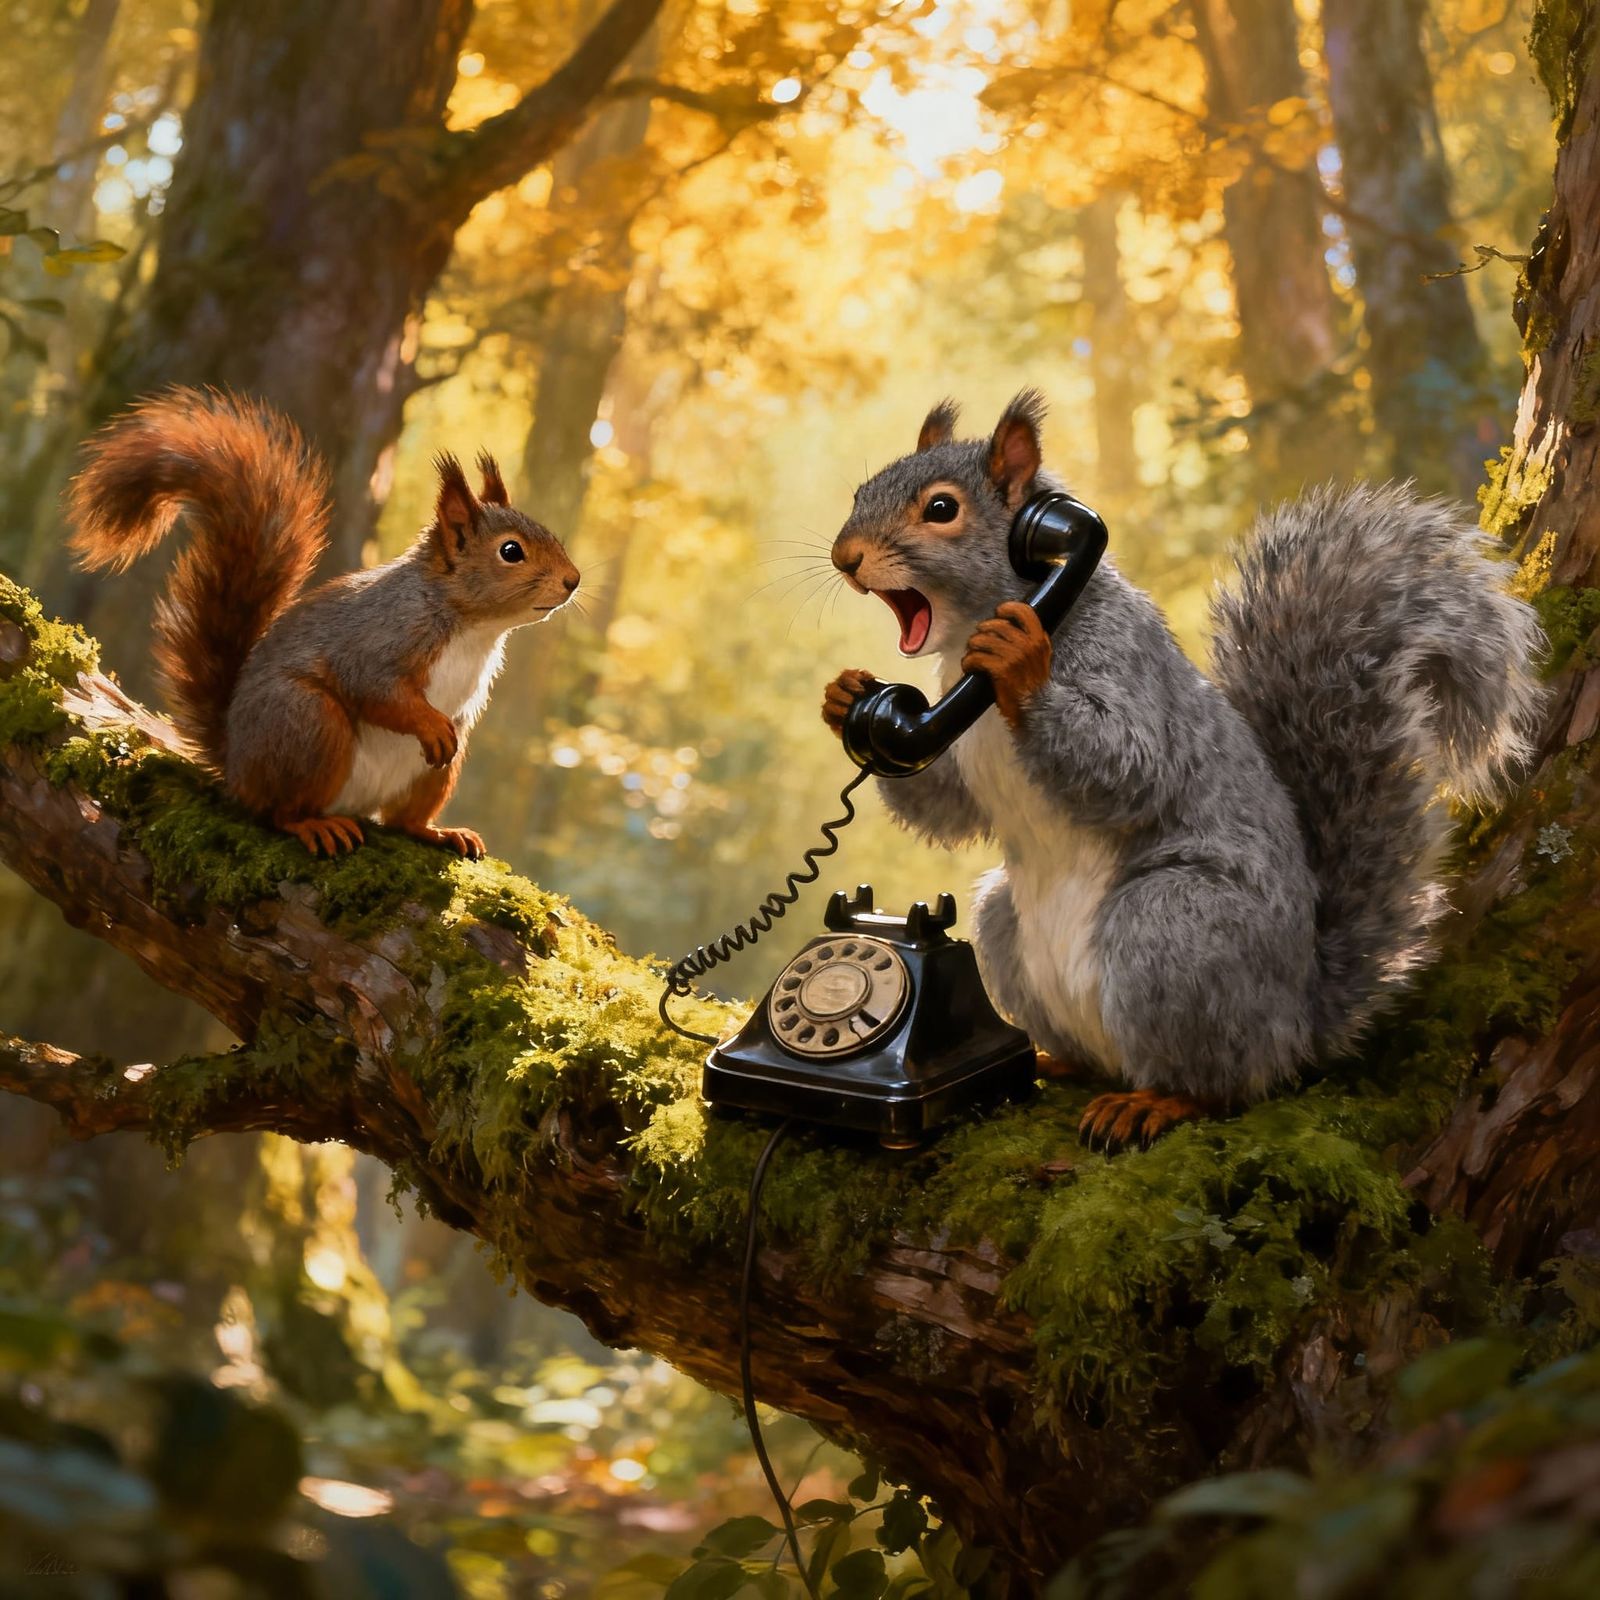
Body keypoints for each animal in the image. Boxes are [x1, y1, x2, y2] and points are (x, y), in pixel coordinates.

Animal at [68, 387, 580, 860]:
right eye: (510, 551)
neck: (469, 624)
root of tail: (235, 767)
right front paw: (429, 724)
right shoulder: (380, 639)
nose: (573, 581)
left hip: (426, 778)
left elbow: (459, 713)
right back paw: (314, 825)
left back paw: (439, 832)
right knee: (278, 812)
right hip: (308, 723)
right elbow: (376, 689)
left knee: (404, 820)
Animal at [822, 391, 1546, 1150]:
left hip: (1174, 926)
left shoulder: (1124, 665)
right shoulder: (941, 731)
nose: (844, 557)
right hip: (1004, 920)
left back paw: (1153, 1103)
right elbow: (945, 803)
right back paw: (1046, 1060)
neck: (969, 634)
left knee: (1225, 1084)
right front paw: (849, 700)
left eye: (941, 509)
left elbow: (1134, 766)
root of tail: (1299, 1024)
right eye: (861, 492)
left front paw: (1019, 660)